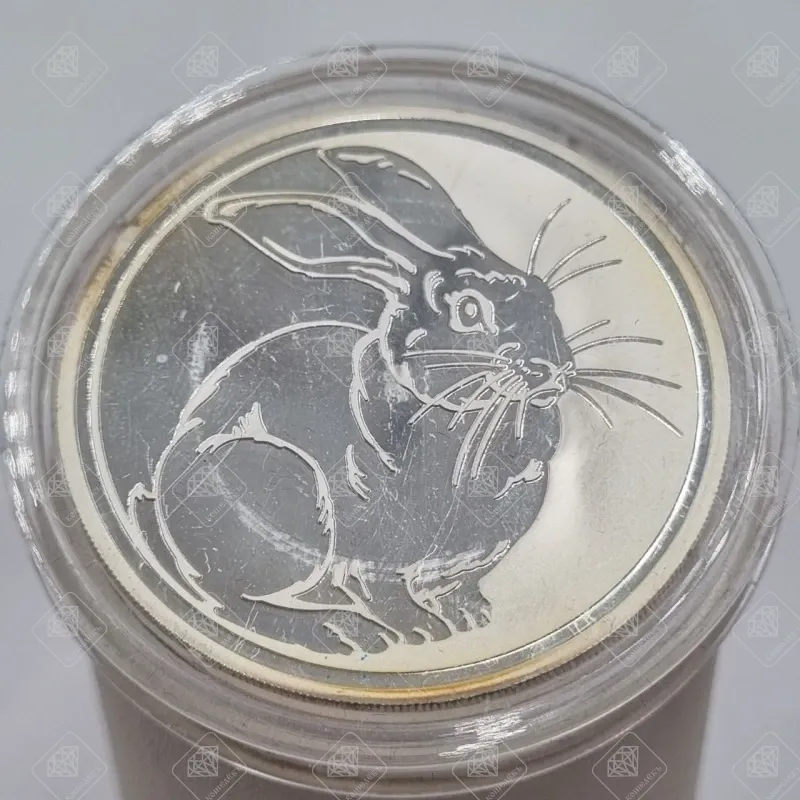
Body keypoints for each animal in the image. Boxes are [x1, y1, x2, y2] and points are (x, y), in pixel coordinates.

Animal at [128, 146, 681, 654]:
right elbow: (383, 589)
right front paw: (421, 632)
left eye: (544, 295)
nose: (552, 369)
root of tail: (157, 501)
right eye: (469, 311)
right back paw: (341, 636)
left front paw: (471, 618)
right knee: (241, 599)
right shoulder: (372, 555)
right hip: (265, 482)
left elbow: (459, 585)